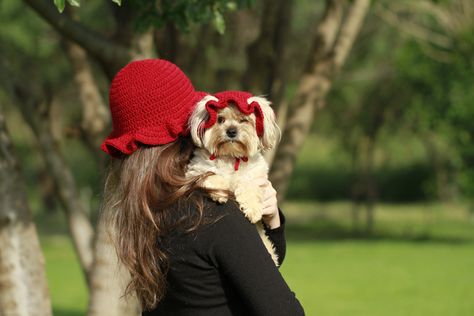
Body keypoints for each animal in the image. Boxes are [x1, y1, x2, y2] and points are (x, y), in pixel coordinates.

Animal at [185, 91, 282, 266]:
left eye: (244, 120)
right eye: (220, 119)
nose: (231, 131)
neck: (231, 156)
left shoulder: (256, 176)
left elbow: (248, 185)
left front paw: (253, 209)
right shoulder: (195, 171)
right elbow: (212, 174)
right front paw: (220, 192)